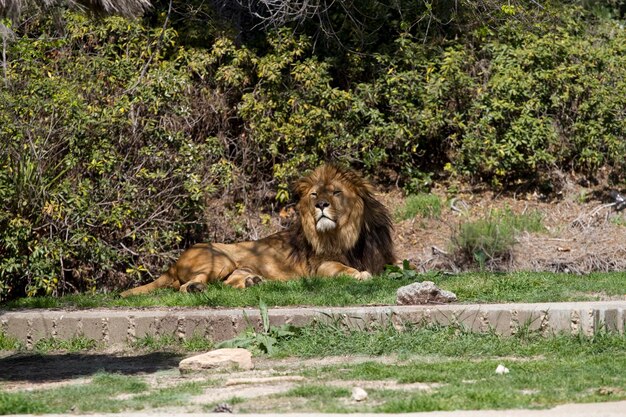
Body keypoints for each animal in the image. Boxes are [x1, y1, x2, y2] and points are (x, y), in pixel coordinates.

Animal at [119, 162, 392, 296]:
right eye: (315, 194)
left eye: (335, 192)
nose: (321, 205)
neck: (347, 234)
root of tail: (172, 264)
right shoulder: (319, 267)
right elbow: (340, 268)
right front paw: (359, 274)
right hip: (219, 259)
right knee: (184, 287)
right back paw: (198, 288)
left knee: (226, 284)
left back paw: (253, 281)